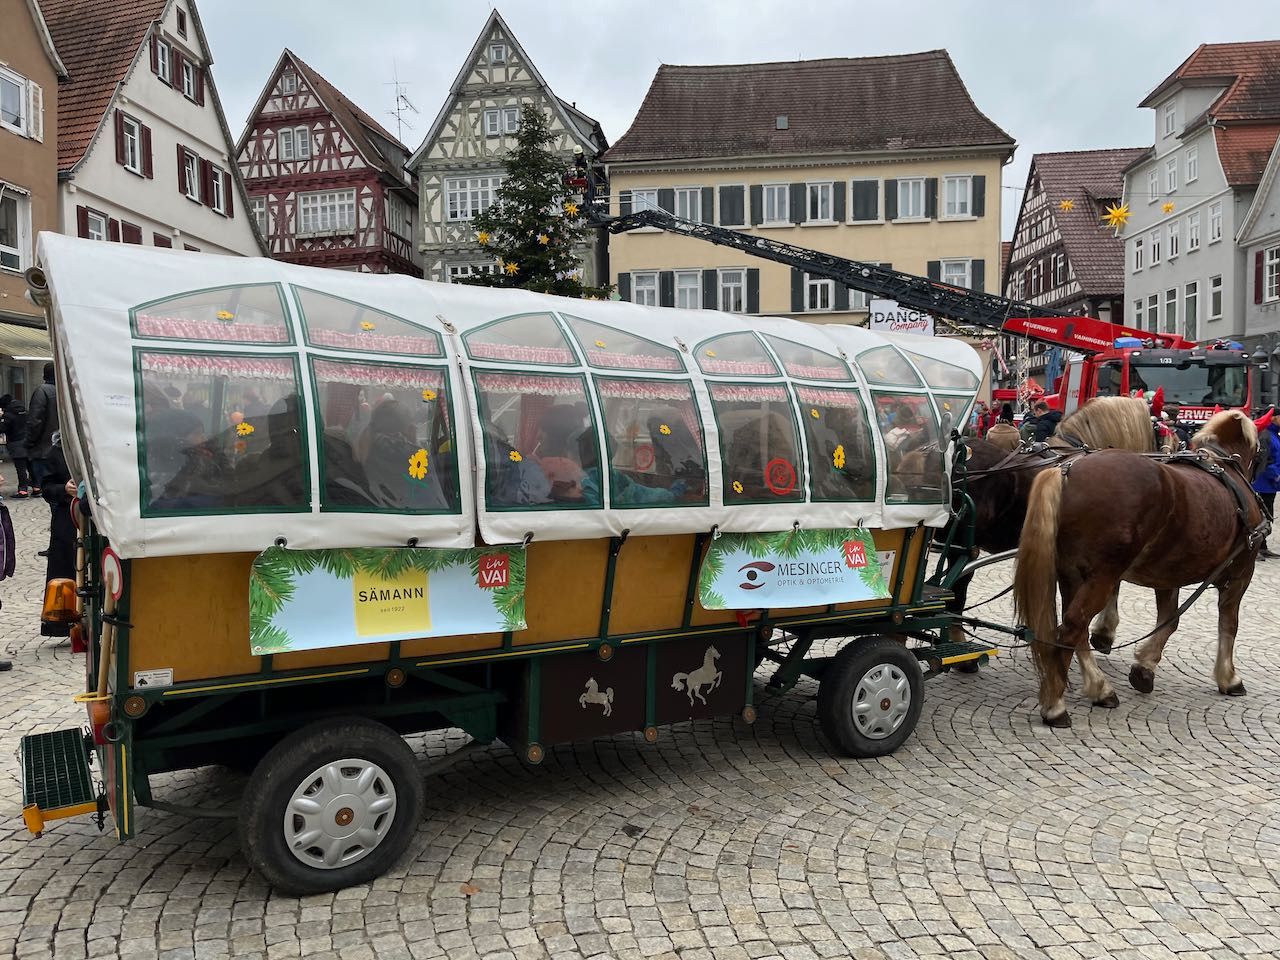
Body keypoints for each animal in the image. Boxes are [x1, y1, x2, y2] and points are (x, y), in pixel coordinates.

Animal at [1014, 409, 1266, 727]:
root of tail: (1067, 470)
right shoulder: (1241, 573)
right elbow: (1228, 624)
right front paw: (1229, 678)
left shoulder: (1168, 574)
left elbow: (1169, 620)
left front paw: (1144, 668)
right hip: (1101, 575)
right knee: (1071, 628)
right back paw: (1056, 705)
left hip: (1072, 574)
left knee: (1075, 628)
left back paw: (1099, 688)